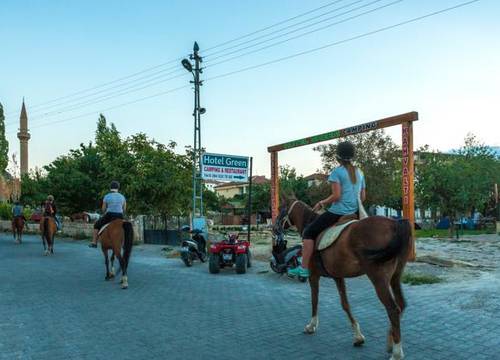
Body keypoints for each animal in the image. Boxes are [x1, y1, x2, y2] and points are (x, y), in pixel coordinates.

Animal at [276, 200, 412, 360]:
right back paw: (390, 342)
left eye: (280, 209)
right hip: (395, 277)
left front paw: (311, 325)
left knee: (393, 309)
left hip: (379, 279)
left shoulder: (313, 275)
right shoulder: (338, 276)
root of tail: (395, 224)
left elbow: (314, 300)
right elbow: (345, 304)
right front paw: (358, 336)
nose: (274, 227)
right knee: (401, 304)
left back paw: (397, 352)